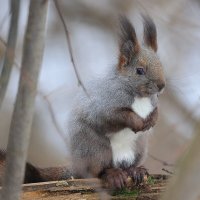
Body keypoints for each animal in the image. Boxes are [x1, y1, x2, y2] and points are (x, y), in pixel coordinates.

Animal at [67, 14, 166, 188]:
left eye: (161, 65)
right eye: (139, 70)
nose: (162, 86)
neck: (140, 96)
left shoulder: (153, 102)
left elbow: (155, 111)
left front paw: (152, 120)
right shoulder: (103, 105)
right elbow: (117, 116)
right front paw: (137, 122)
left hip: (139, 148)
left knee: (128, 166)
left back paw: (135, 171)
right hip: (96, 149)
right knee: (98, 171)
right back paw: (112, 174)